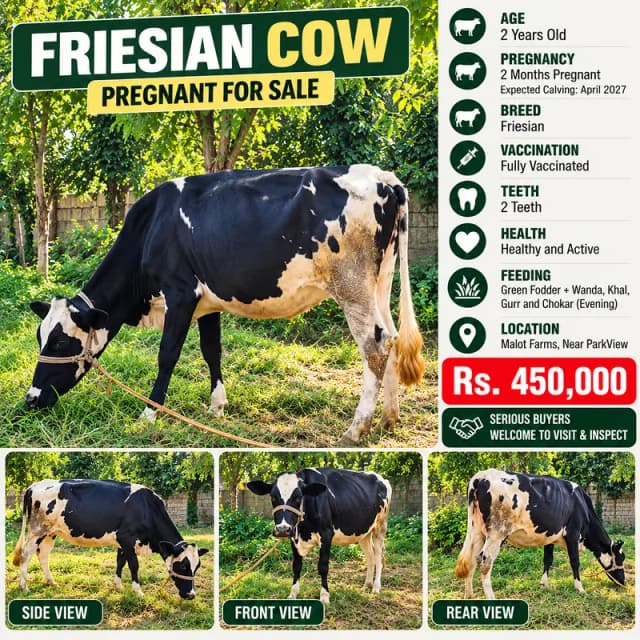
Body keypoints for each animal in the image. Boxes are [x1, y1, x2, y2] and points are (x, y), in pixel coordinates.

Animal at [12, 479, 209, 599]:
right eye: (183, 566)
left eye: (197, 566)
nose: (191, 595)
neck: (147, 508)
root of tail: (33, 486)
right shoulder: (127, 537)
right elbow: (134, 565)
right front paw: (138, 591)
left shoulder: (122, 541)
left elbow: (120, 562)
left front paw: (119, 586)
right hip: (37, 530)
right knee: (26, 554)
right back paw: (24, 586)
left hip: (50, 532)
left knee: (43, 555)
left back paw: (52, 582)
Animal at [25, 165, 425, 445]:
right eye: (38, 337)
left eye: (59, 342)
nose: (30, 400)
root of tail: (382, 177)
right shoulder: (207, 301)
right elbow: (211, 350)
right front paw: (217, 406)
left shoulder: (180, 292)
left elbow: (167, 354)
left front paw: (150, 412)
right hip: (379, 281)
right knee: (391, 337)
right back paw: (389, 418)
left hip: (351, 284)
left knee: (374, 345)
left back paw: (356, 429)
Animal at [247, 467, 391, 606]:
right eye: (273, 497)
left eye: (298, 497)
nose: (282, 529)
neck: (303, 529)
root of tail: (381, 478)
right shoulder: (294, 537)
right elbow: (296, 566)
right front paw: (293, 594)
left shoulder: (326, 535)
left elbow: (323, 567)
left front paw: (325, 597)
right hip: (364, 532)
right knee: (370, 557)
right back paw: (366, 585)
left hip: (380, 526)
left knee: (378, 556)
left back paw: (376, 588)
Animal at [455, 469, 626, 599]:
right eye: (621, 558)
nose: (624, 582)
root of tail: (481, 476)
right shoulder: (573, 533)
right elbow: (575, 561)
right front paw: (580, 588)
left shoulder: (551, 536)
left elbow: (548, 560)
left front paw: (544, 584)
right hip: (497, 533)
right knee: (484, 560)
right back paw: (491, 598)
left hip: (477, 530)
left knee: (472, 558)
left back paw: (469, 595)